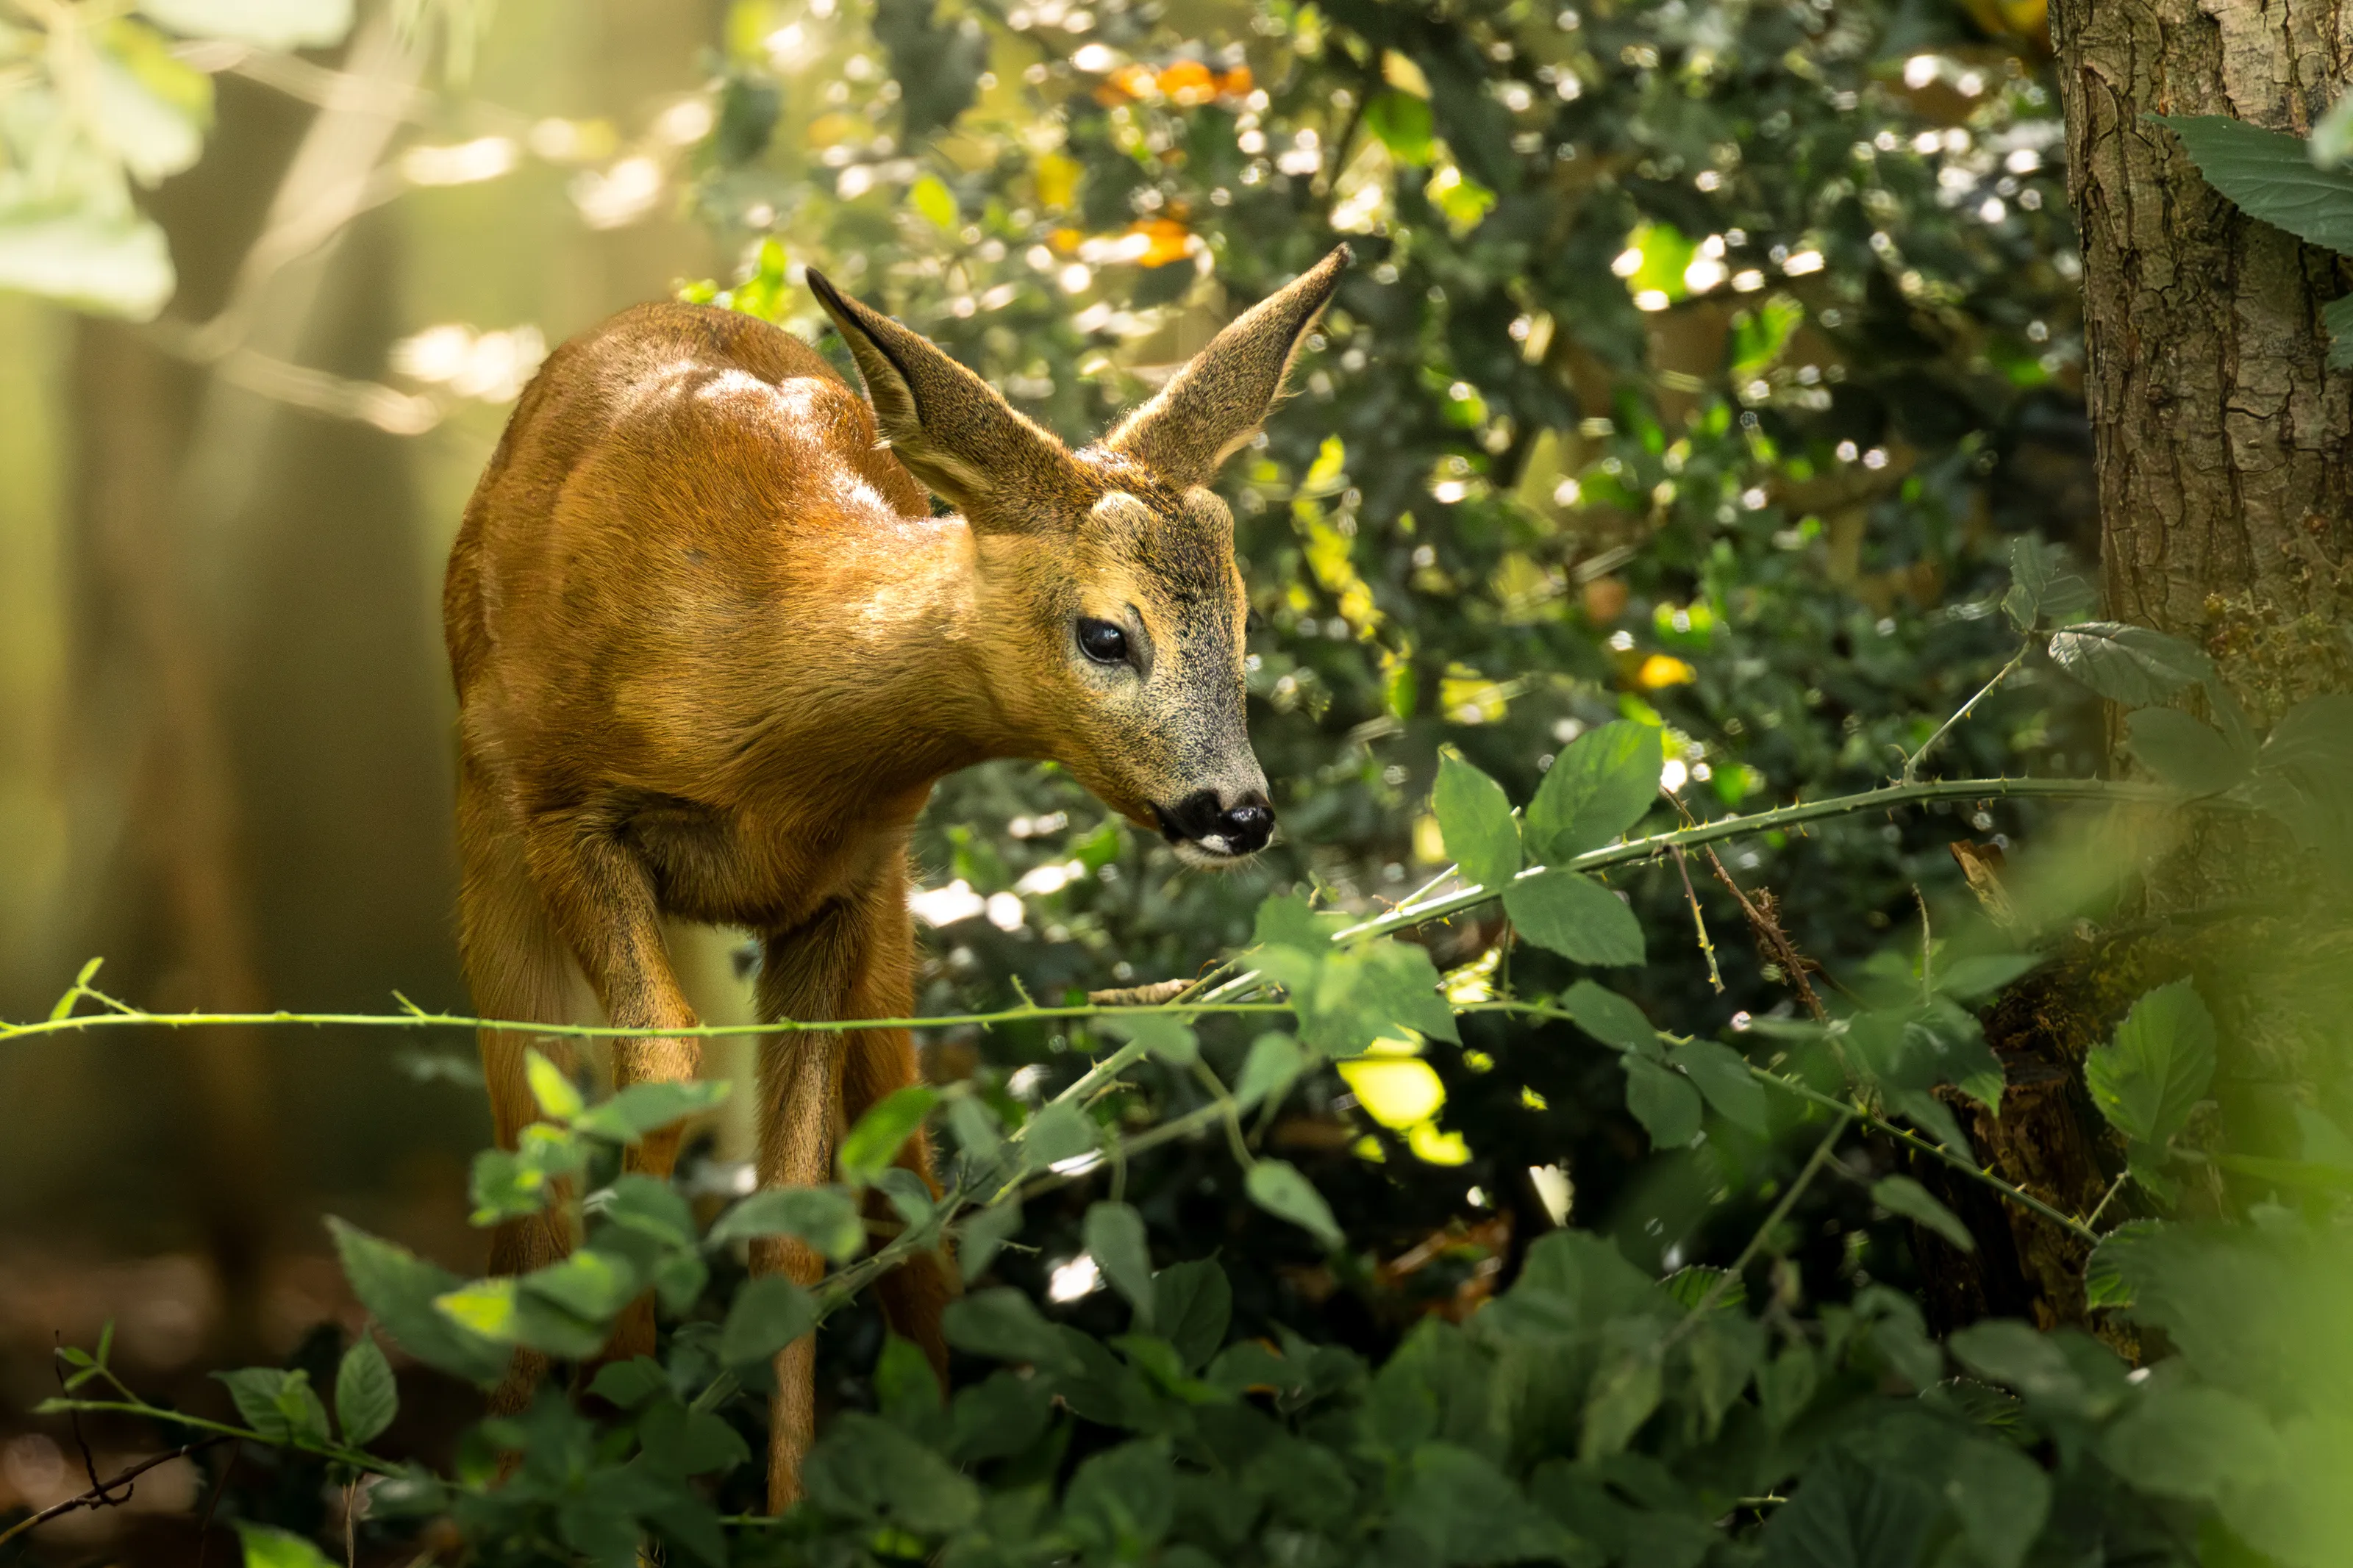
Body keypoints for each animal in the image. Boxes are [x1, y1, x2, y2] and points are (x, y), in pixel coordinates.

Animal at [441, 243, 1349, 1507]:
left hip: (885, 918)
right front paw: (613, 1440)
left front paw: (777, 1513)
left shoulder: (843, 886)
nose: (1240, 811)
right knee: (530, 1165)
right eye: (1107, 634)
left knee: (911, 1183)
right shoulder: (562, 812)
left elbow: (791, 1226)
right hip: (486, 842)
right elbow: (650, 1079)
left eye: (1247, 622)